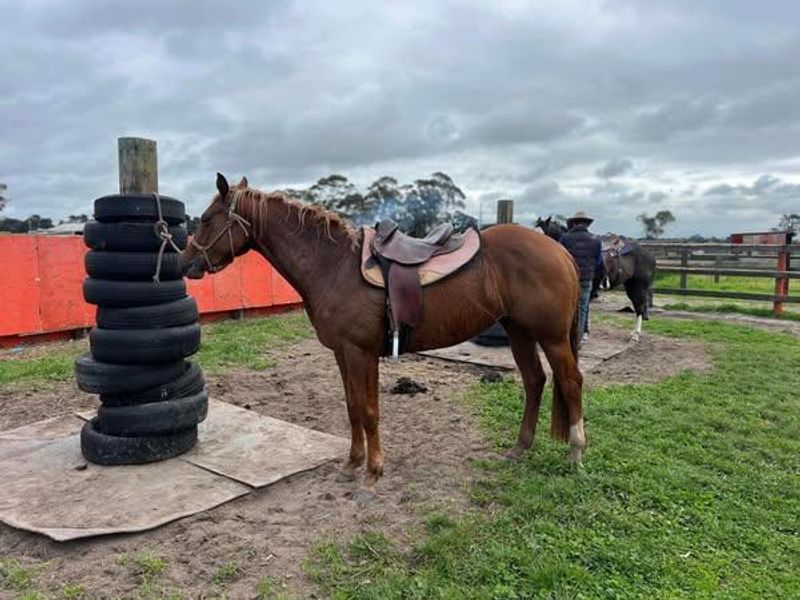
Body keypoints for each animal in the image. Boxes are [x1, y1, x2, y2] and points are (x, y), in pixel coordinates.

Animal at [181, 174, 587, 504]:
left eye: (206, 218)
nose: (185, 263)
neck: (334, 266)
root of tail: (560, 250)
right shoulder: (342, 353)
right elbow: (352, 408)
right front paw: (351, 465)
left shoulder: (362, 352)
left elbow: (370, 412)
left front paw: (372, 475)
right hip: (519, 331)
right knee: (534, 381)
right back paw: (520, 449)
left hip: (551, 337)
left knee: (570, 382)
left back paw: (576, 453)